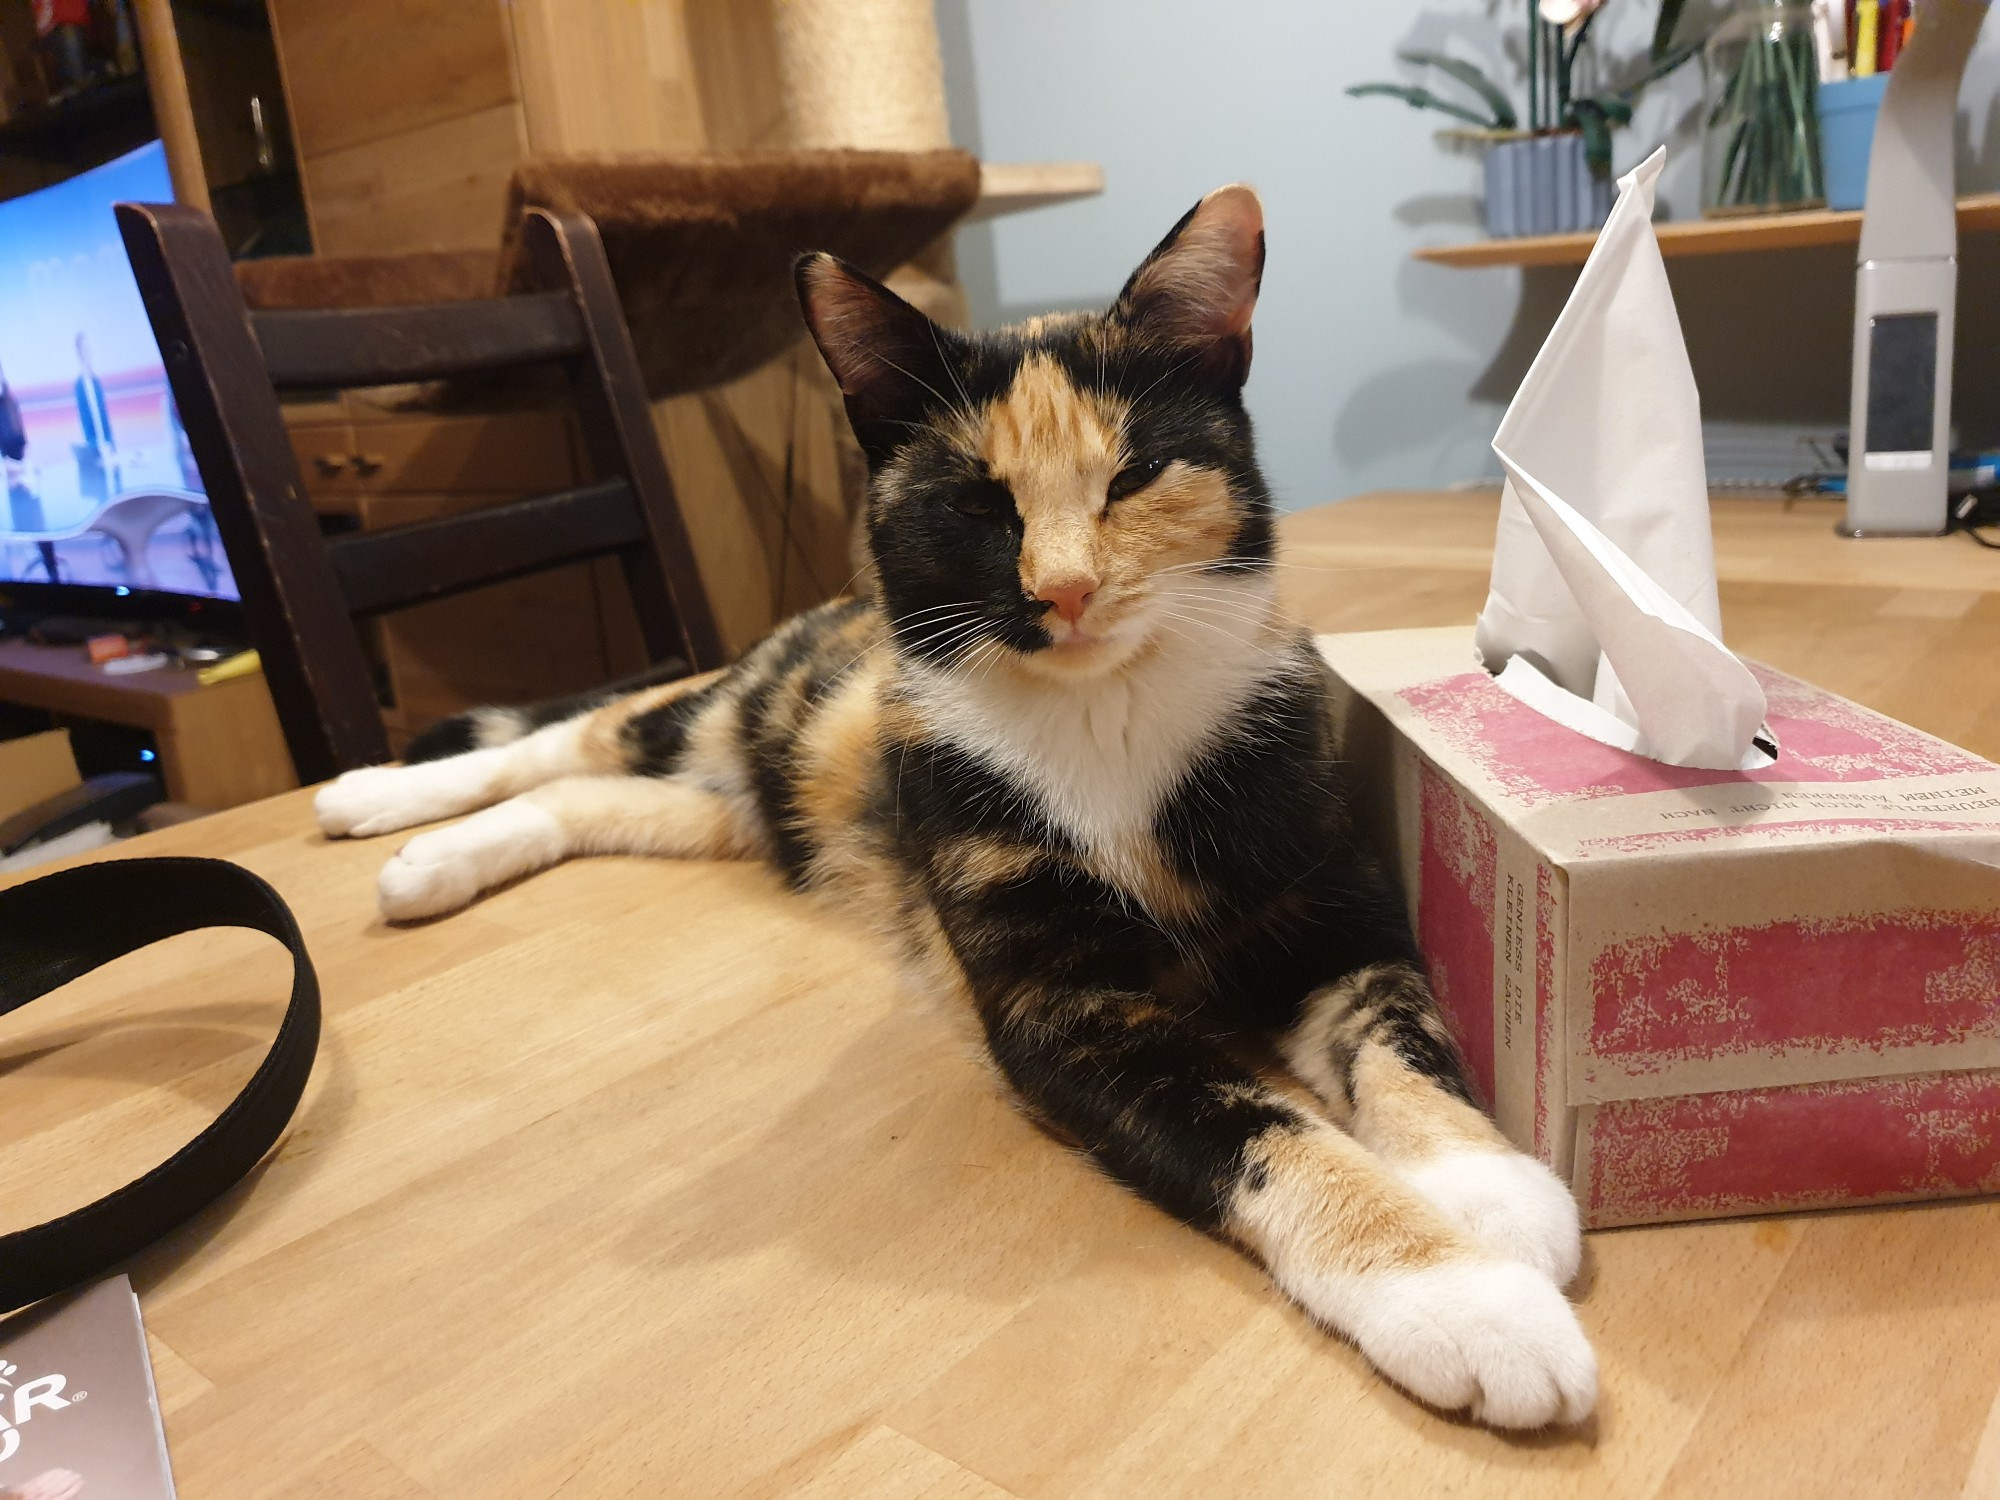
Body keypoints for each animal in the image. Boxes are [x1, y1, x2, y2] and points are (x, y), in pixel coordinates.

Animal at [316, 188, 1592, 1432]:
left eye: (1133, 475)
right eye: (978, 503)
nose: (1063, 590)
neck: (1105, 717)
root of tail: (797, 628)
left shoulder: (1326, 893)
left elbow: (1399, 1028)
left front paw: (1489, 1191)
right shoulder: (1058, 1011)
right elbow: (1263, 1132)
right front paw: (1468, 1304)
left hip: (750, 814)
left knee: (591, 795)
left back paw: (434, 863)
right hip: (732, 724)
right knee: (572, 740)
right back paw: (384, 802)